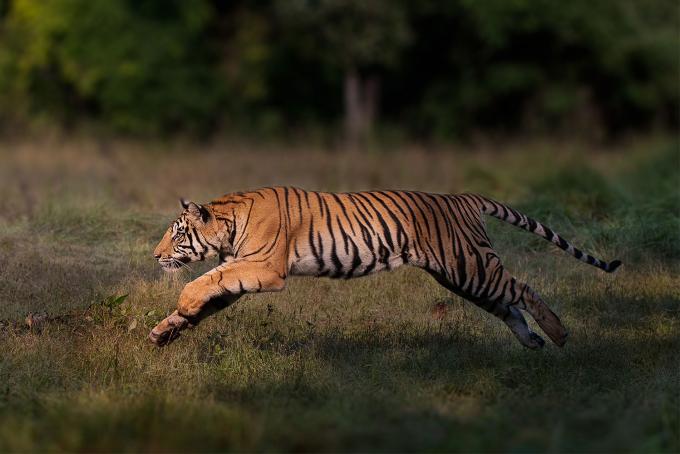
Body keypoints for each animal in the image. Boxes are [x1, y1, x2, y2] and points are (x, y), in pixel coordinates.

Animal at [150, 186, 620, 350]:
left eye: (177, 235)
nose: (154, 256)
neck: (229, 224)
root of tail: (463, 197)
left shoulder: (264, 268)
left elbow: (204, 281)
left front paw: (182, 305)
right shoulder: (241, 270)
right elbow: (209, 293)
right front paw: (166, 330)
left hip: (470, 267)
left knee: (524, 289)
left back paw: (558, 335)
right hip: (464, 277)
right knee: (508, 305)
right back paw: (532, 342)